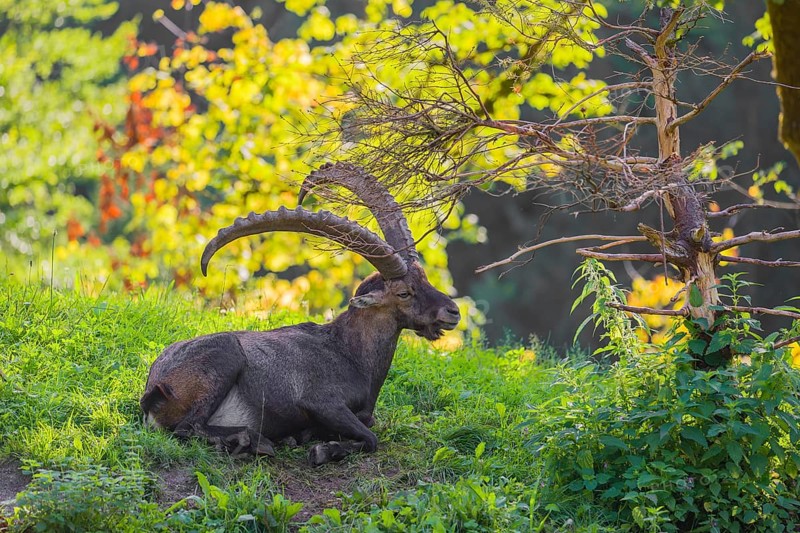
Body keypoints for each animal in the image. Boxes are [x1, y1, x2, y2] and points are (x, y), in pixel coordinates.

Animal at [140, 163, 460, 465]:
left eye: (424, 278)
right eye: (404, 293)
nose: (453, 312)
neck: (349, 353)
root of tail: (155, 390)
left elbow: (368, 424)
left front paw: (309, 438)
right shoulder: (320, 401)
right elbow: (370, 438)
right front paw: (323, 450)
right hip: (224, 355)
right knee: (188, 427)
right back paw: (254, 441)